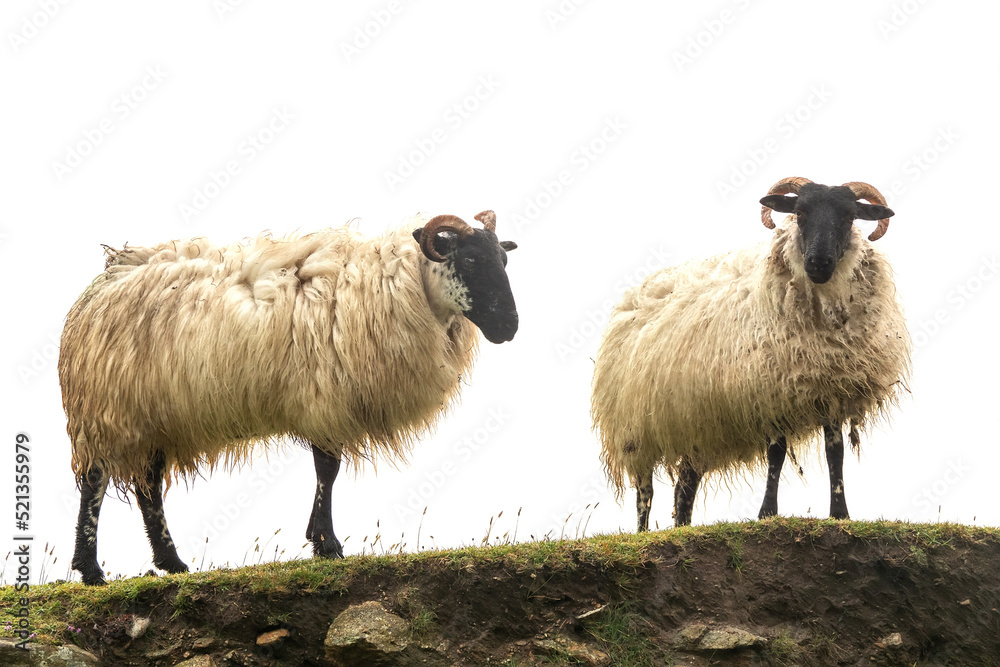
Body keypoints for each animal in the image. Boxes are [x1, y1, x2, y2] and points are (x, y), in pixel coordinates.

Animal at [58, 209, 520, 584]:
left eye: (503, 260)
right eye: (470, 260)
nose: (510, 327)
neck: (399, 286)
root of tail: (107, 279)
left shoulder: (325, 404)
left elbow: (326, 472)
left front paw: (318, 537)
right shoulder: (324, 399)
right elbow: (327, 470)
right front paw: (327, 543)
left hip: (151, 415)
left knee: (148, 487)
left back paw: (171, 562)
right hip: (108, 408)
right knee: (96, 481)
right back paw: (91, 569)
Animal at [588, 179, 912, 532]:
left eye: (849, 216)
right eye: (800, 213)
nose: (818, 263)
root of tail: (634, 295)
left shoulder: (830, 391)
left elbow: (834, 453)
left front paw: (840, 513)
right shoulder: (769, 393)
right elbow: (777, 454)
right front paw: (767, 512)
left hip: (692, 425)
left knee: (684, 487)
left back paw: (683, 527)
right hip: (635, 427)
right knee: (644, 492)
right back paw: (644, 533)